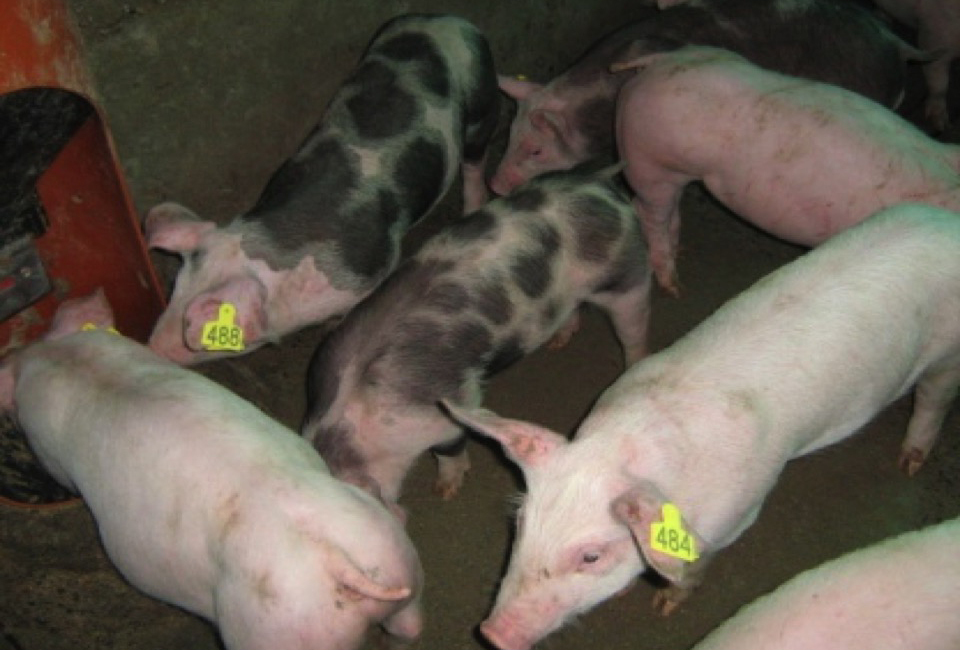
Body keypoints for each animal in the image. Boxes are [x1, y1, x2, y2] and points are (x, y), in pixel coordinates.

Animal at [0, 290, 423, 650]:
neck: (69, 362)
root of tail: (338, 562)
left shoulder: (49, 452)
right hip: (395, 556)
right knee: (409, 620)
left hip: (273, 629)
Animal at [145, 14, 499, 365]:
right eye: (175, 288)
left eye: (204, 335)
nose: (151, 349)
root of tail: (451, 19)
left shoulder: (368, 274)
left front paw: (332, 327)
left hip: (480, 100)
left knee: (475, 158)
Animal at [301, 165, 652, 507]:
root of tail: (597, 184)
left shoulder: (444, 412)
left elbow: (450, 448)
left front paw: (445, 490)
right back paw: (558, 342)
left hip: (627, 278)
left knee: (634, 330)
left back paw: (633, 365)